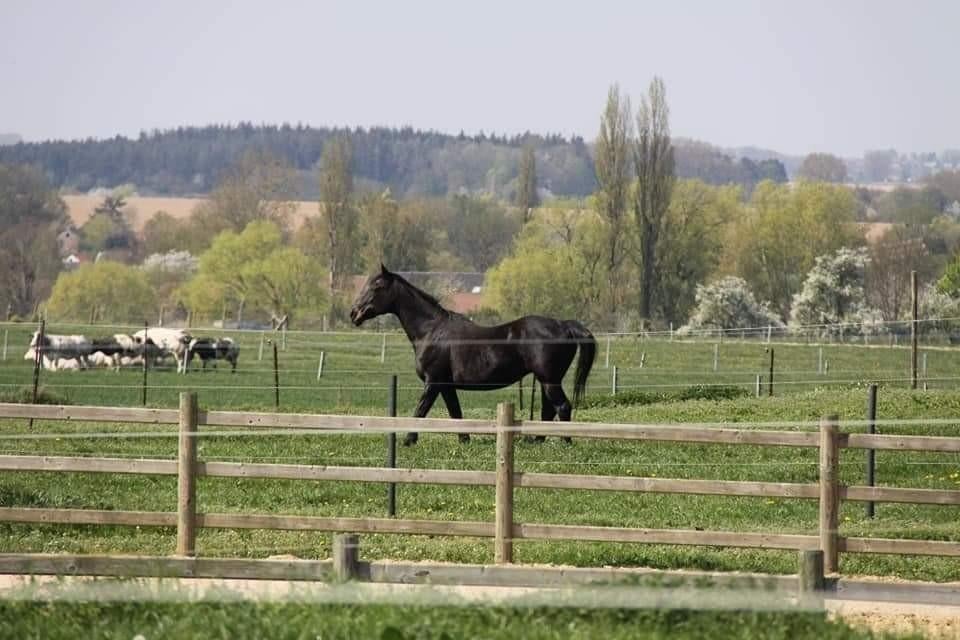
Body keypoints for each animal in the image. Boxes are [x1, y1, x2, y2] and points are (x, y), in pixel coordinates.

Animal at [350, 265, 596, 445]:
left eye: (377, 286)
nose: (354, 313)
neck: (431, 331)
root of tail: (563, 325)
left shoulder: (433, 382)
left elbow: (420, 410)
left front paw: (409, 441)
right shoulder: (446, 386)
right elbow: (456, 413)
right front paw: (464, 441)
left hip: (549, 380)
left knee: (562, 407)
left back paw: (566, 442)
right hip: (547, 381)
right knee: (548, 410)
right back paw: (537, 441)